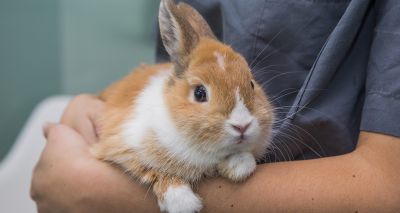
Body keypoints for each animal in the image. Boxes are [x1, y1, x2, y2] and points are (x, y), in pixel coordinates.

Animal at [93, 0, 276, 212]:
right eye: (199, 93)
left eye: (252, 84)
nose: (242, 125)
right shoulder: (123, 145)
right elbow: (156, 170)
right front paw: (183, 202)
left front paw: (239, 167)